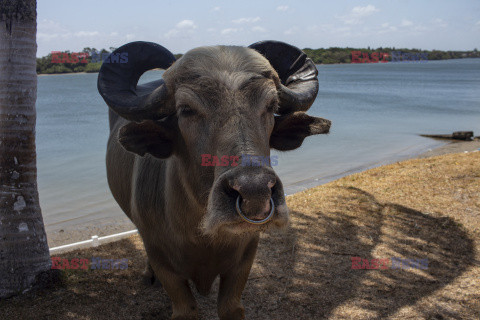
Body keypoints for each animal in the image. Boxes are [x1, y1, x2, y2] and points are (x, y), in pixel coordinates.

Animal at [97, 40, 330, 320]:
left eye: (271, 106)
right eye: (186, 110)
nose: (254, 192)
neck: (203, 236)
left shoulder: (245, 257)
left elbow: (232, 308)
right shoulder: (164, 265)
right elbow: (185, 310)